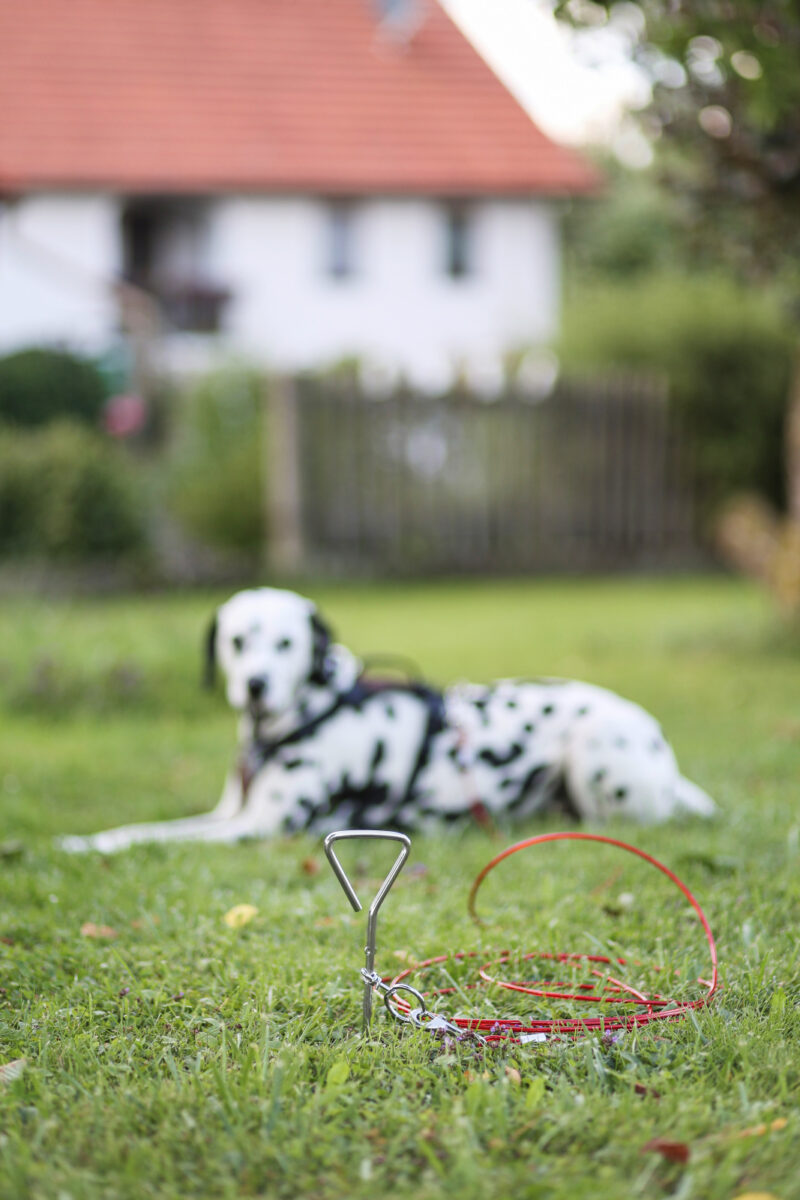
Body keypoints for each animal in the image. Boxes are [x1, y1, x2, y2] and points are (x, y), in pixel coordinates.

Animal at [59, 583, 714, 854]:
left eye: (287, 643)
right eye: (238, 640)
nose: (256, 686)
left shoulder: (256, 829)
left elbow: (148, 839)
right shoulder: (227, 815)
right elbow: (138, 829)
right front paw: (85, 839)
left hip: (596, 748)